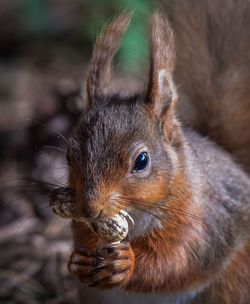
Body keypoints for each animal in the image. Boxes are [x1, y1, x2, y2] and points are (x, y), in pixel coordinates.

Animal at [57, 1, 250, 302]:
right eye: (69, 155)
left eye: (142, 160)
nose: (90, 209)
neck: (135, 214)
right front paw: (77, 261)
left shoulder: (200, 224)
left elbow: (175, 262)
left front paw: (127, 263)